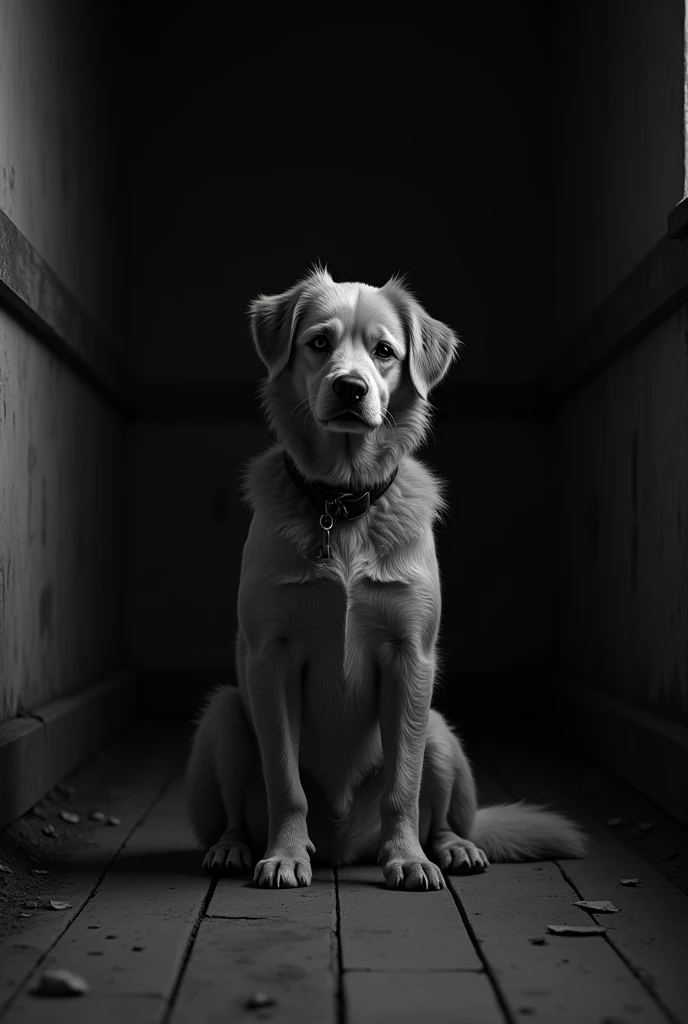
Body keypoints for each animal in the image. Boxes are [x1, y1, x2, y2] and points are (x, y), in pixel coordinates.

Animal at [184, 270, 585, 888]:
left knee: (440, 813)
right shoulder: (270, 657)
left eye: (385, 352)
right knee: (231, 814)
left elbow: (405, 783)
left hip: (441, 731)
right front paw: (286, 854)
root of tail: (344, 845)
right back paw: (235, 850)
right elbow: (284, 782)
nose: (351, 388)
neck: (342, 503)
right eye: (319, 343)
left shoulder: (410, 656)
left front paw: (407, 858)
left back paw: (450, 848)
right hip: (224, 717)